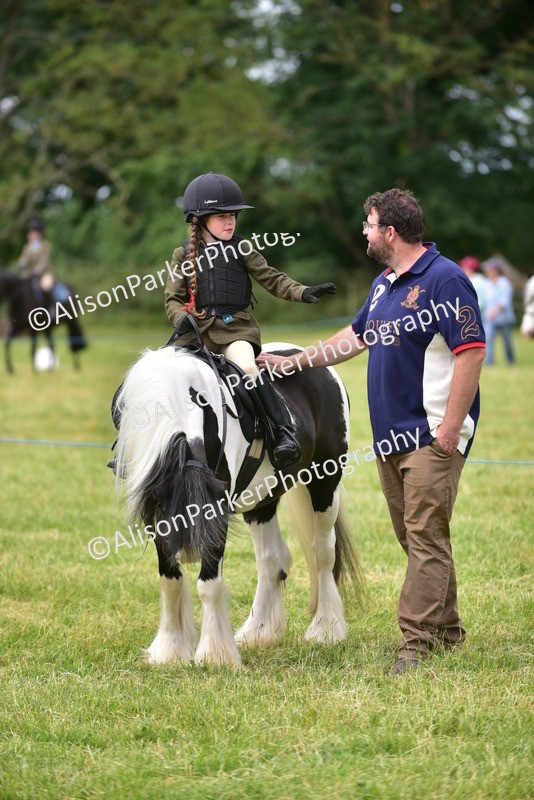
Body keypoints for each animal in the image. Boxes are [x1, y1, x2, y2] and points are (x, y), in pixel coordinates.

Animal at [113, 340, 361, 667]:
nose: (188, 553)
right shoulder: (156, 512)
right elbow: (169, 580)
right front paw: (170, 650)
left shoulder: (216, 510)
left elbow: (208, 584)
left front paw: (214, 655)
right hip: (262, 500)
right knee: (272, 560)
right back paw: (259, 632)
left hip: (324, 482)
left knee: (323, 553)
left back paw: (325, 629)